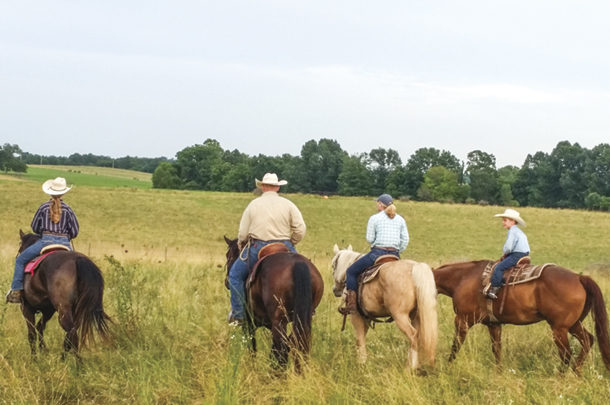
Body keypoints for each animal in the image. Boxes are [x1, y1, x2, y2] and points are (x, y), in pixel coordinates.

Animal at [223, 237, 326, 370]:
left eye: (228, 255)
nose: (226, 282)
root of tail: (298, 264)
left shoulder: (249, 324)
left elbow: (252, 349)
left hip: (279, 321)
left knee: (283, 348)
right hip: (302, 319)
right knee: (296, 343)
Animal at [432, 258, 608, 372]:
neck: (463, 278)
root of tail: (579, 277)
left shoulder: (462, 321)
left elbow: (455, 346)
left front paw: (447, 368)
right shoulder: (493, 324)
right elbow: (497, 350)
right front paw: (499, 373)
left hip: (559, 328)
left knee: (566, 354)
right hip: (573, 324)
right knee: (587, 340)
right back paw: (576, 371)